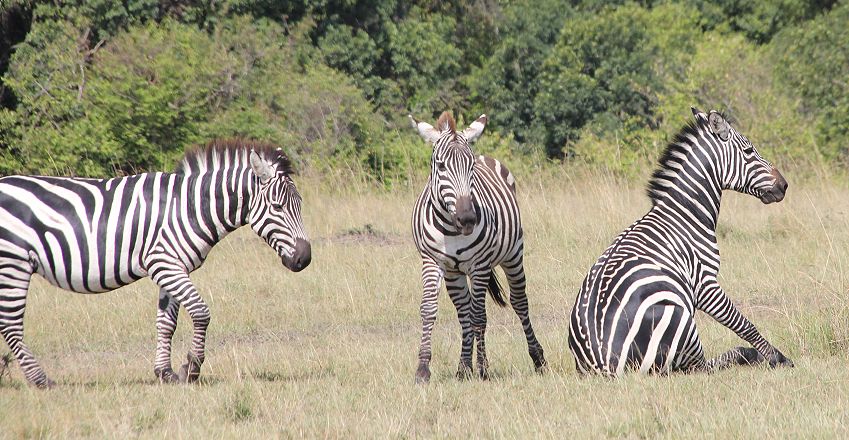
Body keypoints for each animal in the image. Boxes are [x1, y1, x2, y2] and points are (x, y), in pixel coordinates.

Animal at [0, 139, 312, 386]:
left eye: (300, 206)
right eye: (278, 207)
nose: (304, 259)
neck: (188, 207)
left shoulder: (171, 266)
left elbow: (166, 323)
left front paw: (165, 372)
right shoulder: (163, 264)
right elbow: (201, 312)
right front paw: (191, 368)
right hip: (14, 262)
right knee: (11, 324)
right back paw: (41, 380)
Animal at [410, 111, 544, 384]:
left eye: (470, 167)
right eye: (441, 166)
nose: (468, 219)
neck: (451, 228)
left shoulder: (480, 265)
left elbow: (479, 316)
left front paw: (483, 369)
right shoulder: (432, 261)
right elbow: (429, 310)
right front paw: (423, 369)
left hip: (513, 254)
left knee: (518, 302)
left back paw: (537, 359)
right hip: (455, 274)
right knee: (463, 312)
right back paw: (463, 368)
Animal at [568, 107, 796, 374]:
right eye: (749, 151)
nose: (784, 185)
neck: (685, 212)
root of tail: (601, 362)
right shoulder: (705, 284)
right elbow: (743, 323)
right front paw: (777, 357)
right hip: (680, 319)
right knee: (701, 367)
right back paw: (747, 354)